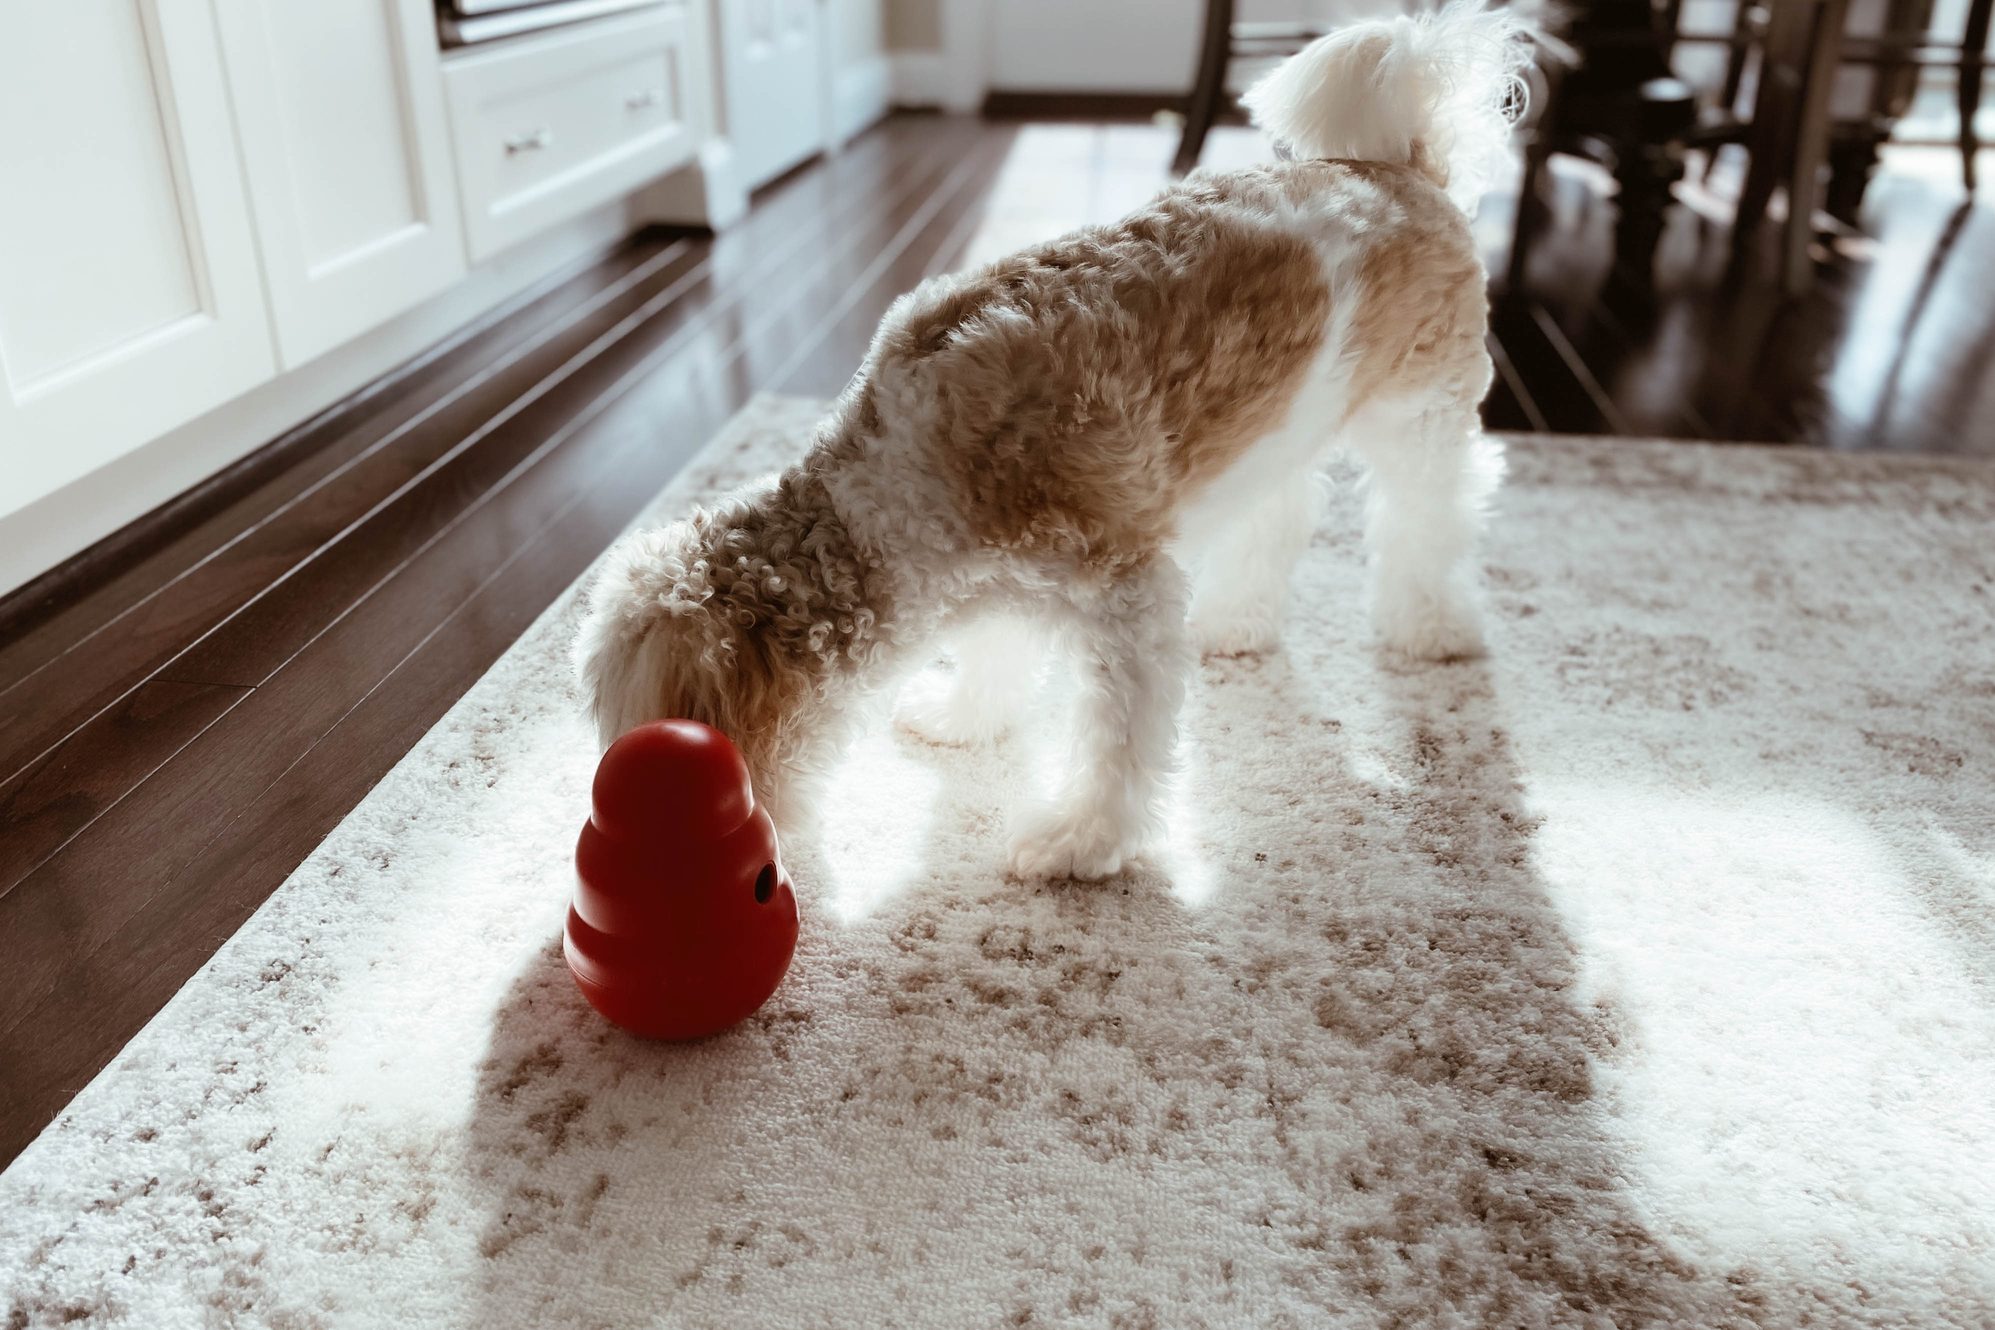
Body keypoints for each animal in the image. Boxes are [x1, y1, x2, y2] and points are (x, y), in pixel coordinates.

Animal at [570, 2, 1532, 885]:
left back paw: (1433, 628)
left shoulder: (1128, 597)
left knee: (1431, 518)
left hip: (1420, 415)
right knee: (1283, 512)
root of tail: (1402, 167)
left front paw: (1081, 842)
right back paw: (1236, 622)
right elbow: (994, 657)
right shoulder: (992, 579)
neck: (896, 479)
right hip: (1285, 421)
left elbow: (1117, 742)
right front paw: (965, 719)